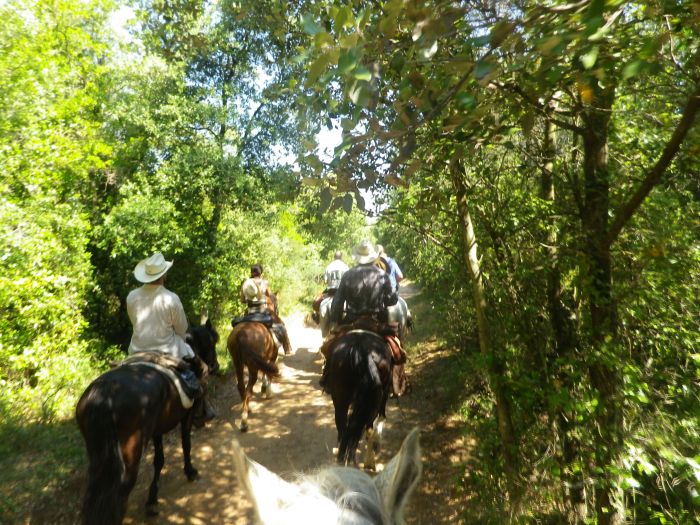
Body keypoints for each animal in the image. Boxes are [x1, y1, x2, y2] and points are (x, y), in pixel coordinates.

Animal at [76, 320, 219, 524]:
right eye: (212, 342)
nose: (215, 366)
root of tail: (106, 393)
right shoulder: (187, 415)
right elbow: (186, 443)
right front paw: (190, 471)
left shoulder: (157, 429)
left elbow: (159, 460)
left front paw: (152, 499)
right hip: (132, 447)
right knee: (121, 489)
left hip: (97, 451)